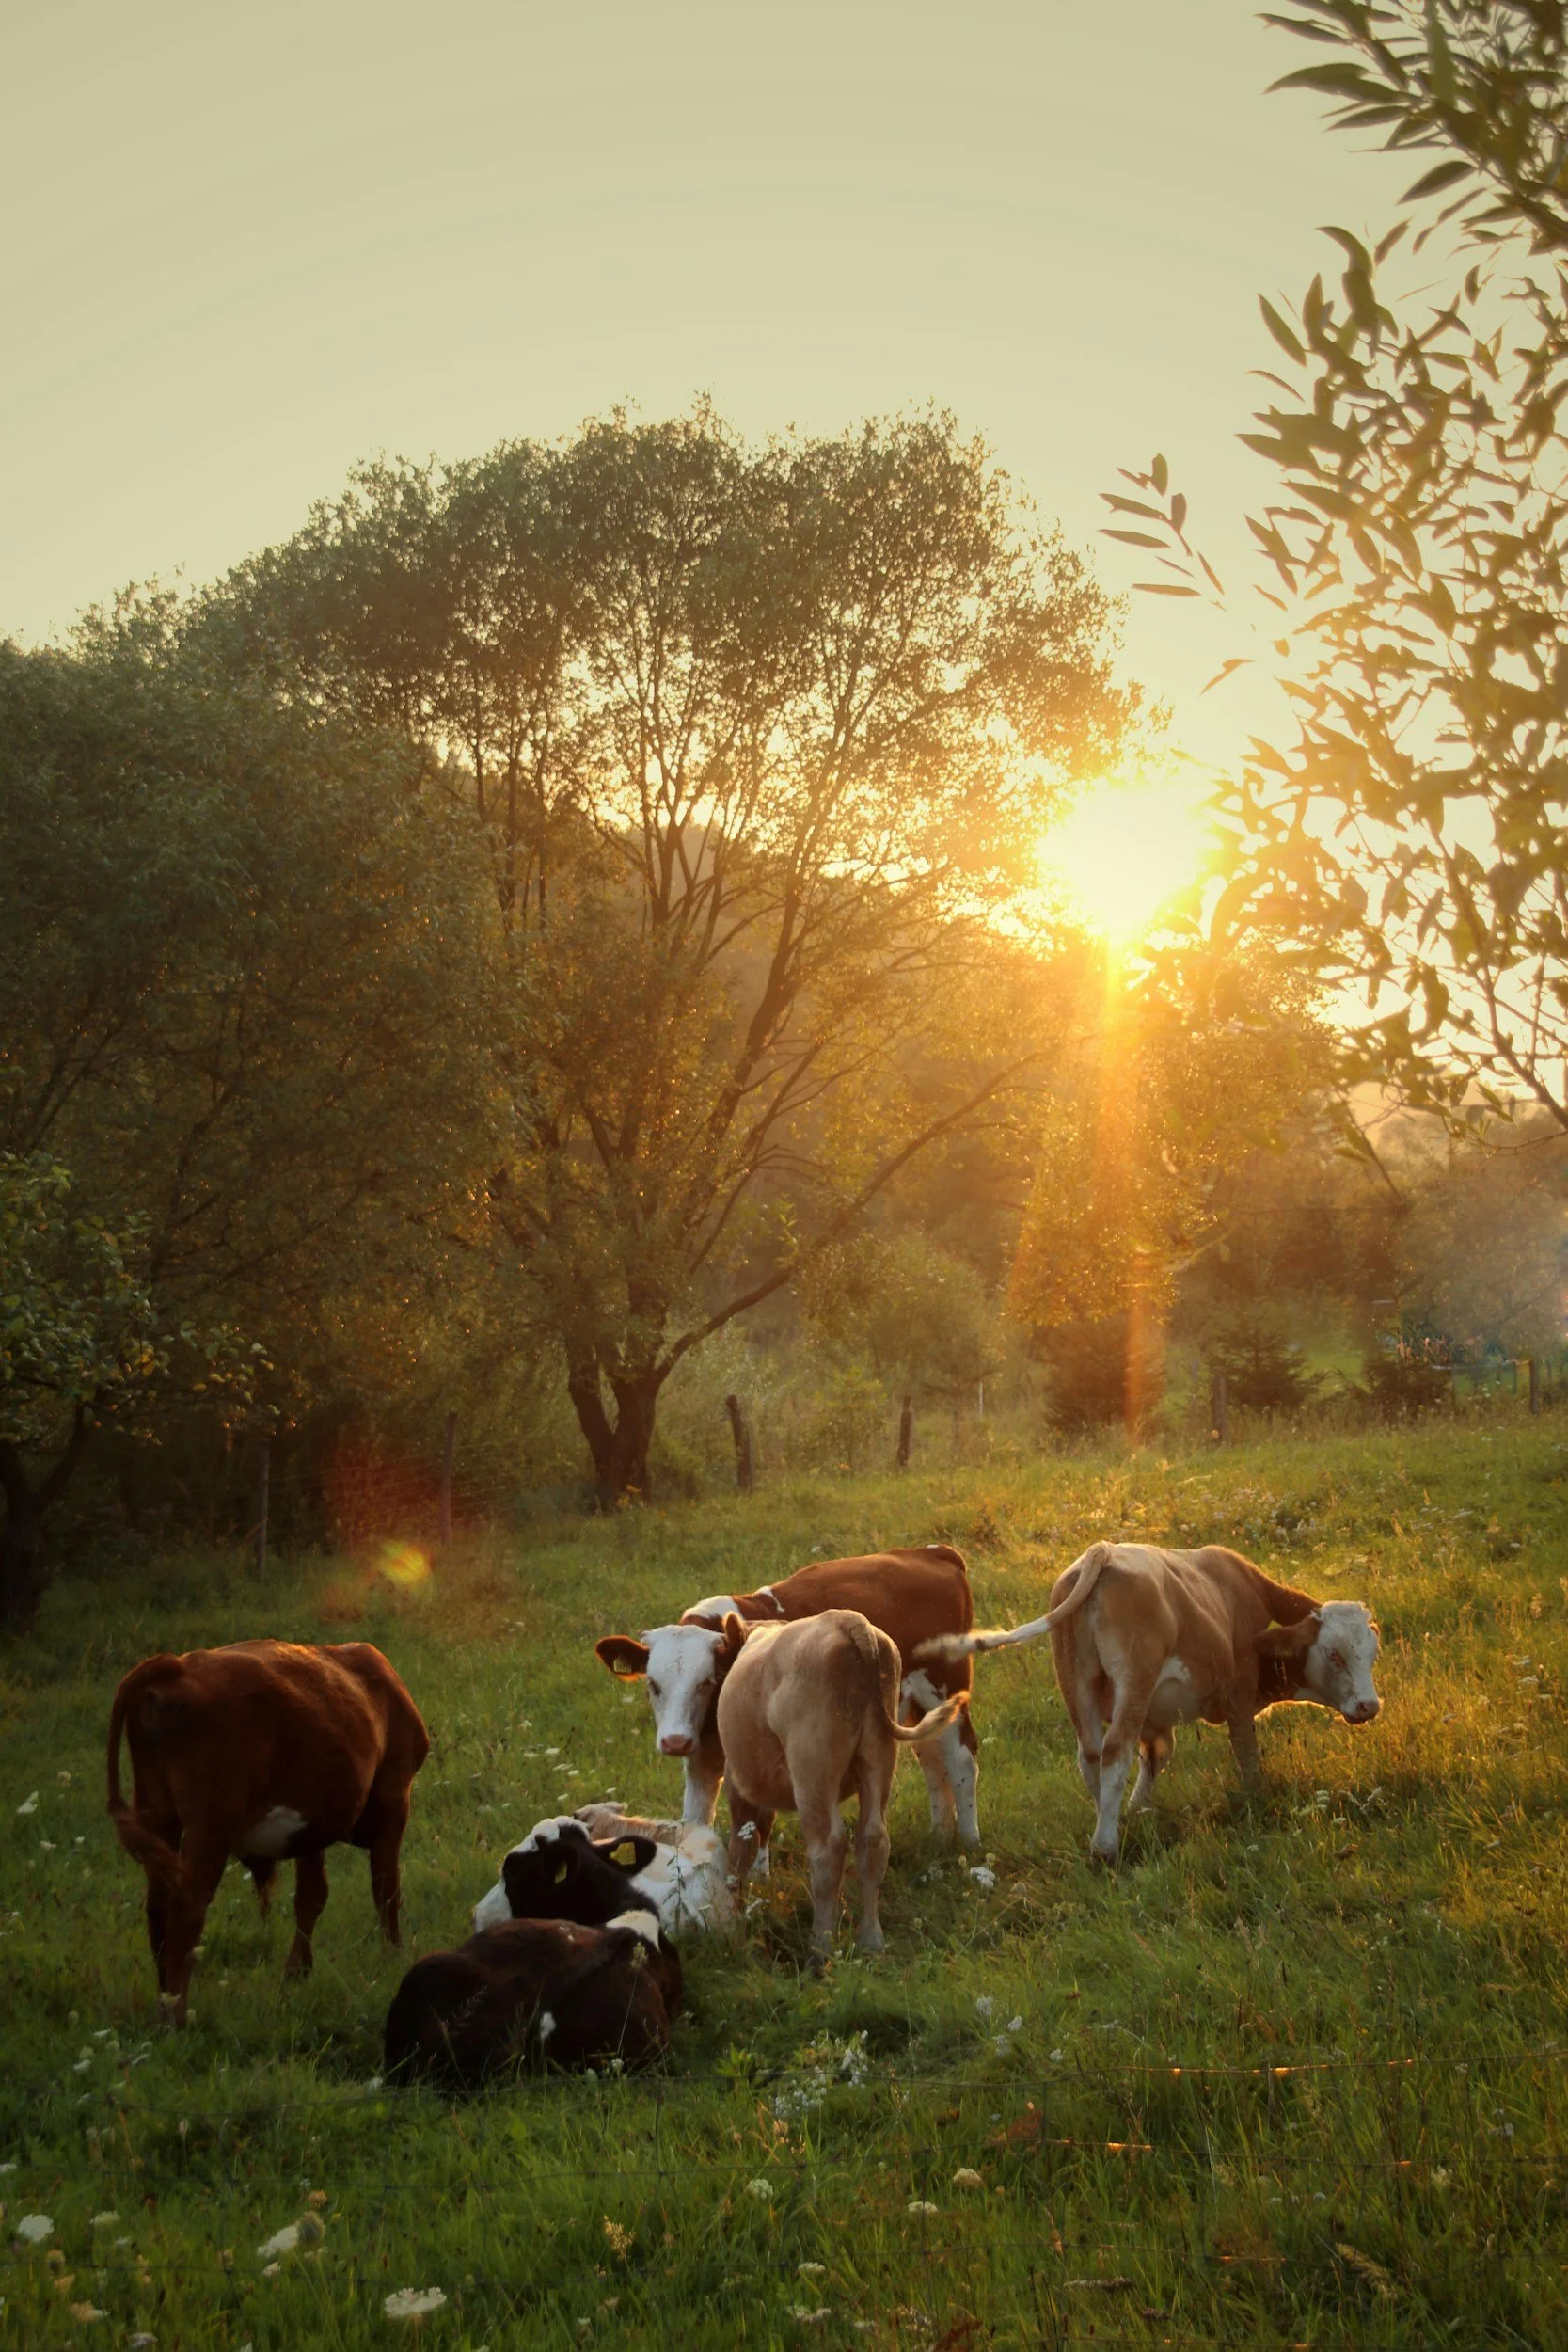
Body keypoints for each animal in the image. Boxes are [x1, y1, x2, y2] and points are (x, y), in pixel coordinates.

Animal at [106, 1639, 429, 2022]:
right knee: (187, 1908)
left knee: (158, 1907)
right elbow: (386, 1887)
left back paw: (163, 1998)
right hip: (210, 1824)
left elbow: (312, 1896)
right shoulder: (394, 1797)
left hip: (158, 1813)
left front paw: (298, 1973)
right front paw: (394, 1956)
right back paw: (176, 2014)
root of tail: (176, 1668)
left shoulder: (311, 1827)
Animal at [594, 1545, 981, 1859]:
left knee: (961, 1757)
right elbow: (694, 1821)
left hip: (945, 1684)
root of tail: (932, 1552)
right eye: (653, 1685)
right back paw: (941, 1837)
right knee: (932, 1758)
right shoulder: (700, 1763)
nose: (675, 1741)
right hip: (913, 1707)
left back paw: (969, 1841)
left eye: (707, 1681)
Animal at [715, 1607, 968, 1957]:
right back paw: (871, 1939)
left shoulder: (739, 1786)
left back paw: (820, 1945)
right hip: (878, 1757)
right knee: (873, 1839)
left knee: (828, 1849)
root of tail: (845, 1620)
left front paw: (731, 1920)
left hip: (813, 1769)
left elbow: (740, 1851)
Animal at [918, 1542, 1381, 1862]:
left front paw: (1137, 1809)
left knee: (1091, 1755)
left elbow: (1156, 1756)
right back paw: (1105, 1847)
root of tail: (1102, 1551)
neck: (1239, 1591)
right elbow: (1246, 1755)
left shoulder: (1156, 1720)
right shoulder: (1237, 1698)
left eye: (1373, 1652)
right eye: (1334, 1654)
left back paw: (1105, 1821)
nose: (1370, 1706)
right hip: (1133, 1681)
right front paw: (1255, 1799)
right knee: (1114, 1751)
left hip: (1077, 1681)